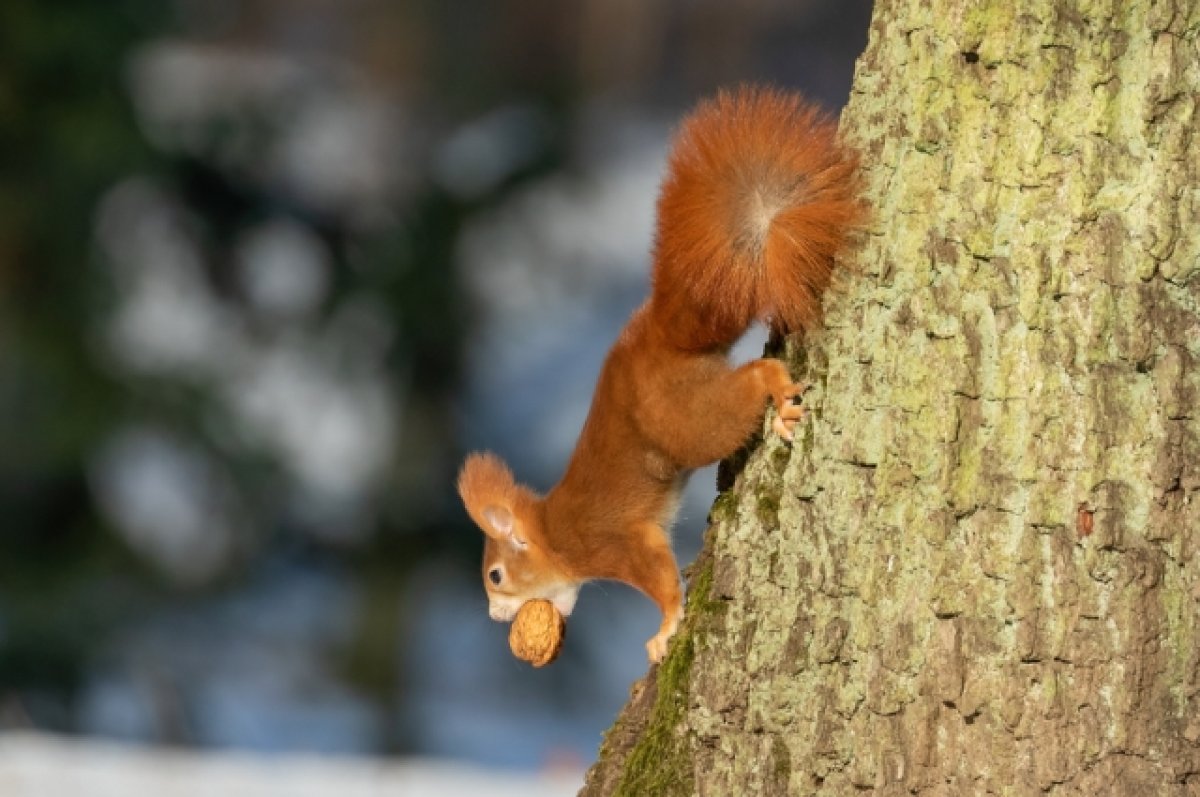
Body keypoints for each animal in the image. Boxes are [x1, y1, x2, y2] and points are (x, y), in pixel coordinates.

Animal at [453, 85, 859, 657]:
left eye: (495, 576)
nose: (493, 615)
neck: (553, 535)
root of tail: (660, 338)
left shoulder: (616, 543)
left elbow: (659, 579)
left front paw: (665, 629)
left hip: (685, 420)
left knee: (751, 384)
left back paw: (778, 396)